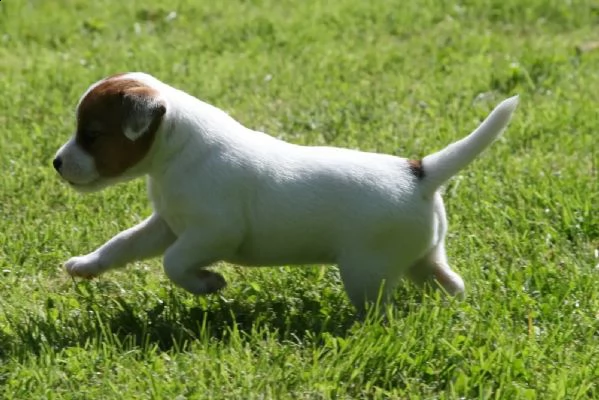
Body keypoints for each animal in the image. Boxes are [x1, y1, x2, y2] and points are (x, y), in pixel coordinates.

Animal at [52, 73, 520, 314]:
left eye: (92, 135)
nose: (56, 163)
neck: (178, 149)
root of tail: (421, 173)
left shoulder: (211, 233)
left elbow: (173, 263)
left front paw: (208, 283)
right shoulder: (166, 225)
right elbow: (122, 245)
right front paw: (85, 265)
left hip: (365, 272)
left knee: (379, 311)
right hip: (423, 258)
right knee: (451, 282)